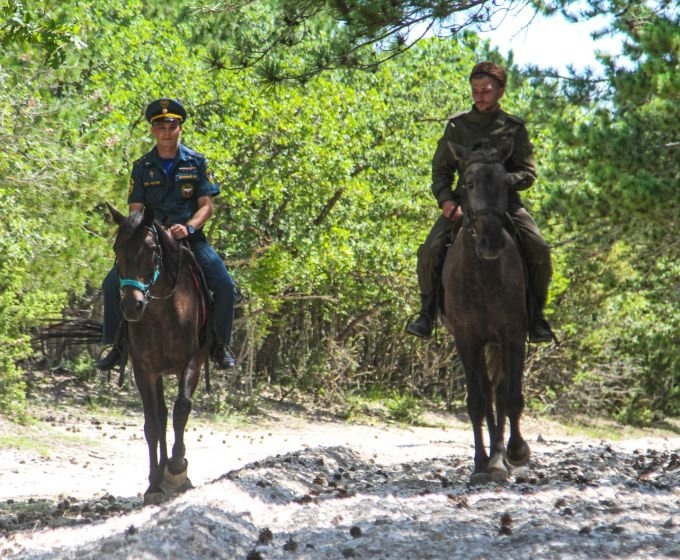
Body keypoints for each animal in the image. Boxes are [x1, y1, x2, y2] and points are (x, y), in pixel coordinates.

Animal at [109, 203, 209, 506]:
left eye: (152, 249)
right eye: (117, 248)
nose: (132, 306)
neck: (163, 311)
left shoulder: (191, 363)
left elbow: (182, 409)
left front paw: (177, 467)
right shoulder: (145, 370)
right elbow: (152, 424)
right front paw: (154, 484)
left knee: (172, 413)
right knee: (161, 415)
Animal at [440, 141, 532, 486]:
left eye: (506, 184)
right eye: (468, 184)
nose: (490, 242)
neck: (484, 274)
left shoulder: (513, 336)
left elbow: (511, 397)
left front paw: (515, 452)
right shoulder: (467, 340)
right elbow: (478, 401)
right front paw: (481, 464)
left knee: (501, 393)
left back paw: (503, 458)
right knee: (488, 394)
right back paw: (492, 460)